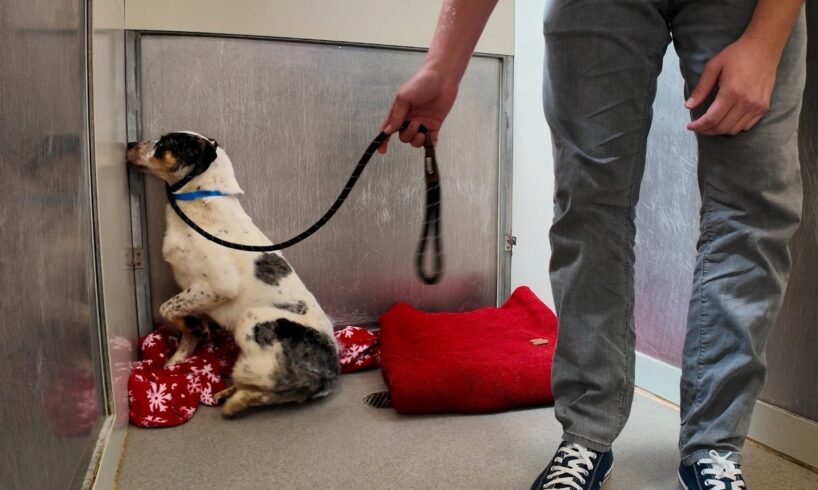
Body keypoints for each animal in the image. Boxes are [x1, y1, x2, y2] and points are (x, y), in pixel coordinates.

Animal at [123, 131, 338, 418]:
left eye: (166, 143)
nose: (128, 144)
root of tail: (330, 371)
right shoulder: (193, 291)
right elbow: (184, 326)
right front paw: (179, 357)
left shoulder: (218, 286)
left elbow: (166, 308)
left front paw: (199, 330)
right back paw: (230, 392)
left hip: (253, 319)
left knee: (281, 385)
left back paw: (239, 400)